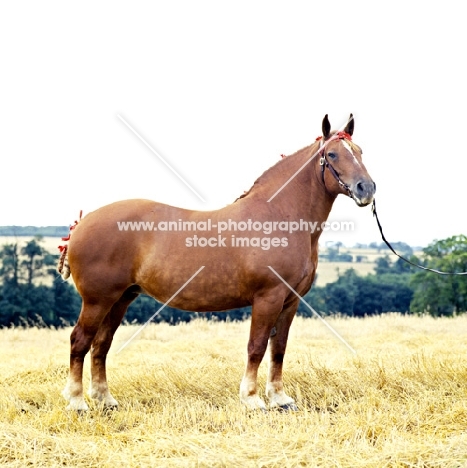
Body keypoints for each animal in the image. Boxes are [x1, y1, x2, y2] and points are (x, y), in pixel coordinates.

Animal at [61, 115, 376, 412]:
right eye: (332, 154)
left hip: (121, 299)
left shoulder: (291, 300)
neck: (279, 216)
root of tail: (82, 224)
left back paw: (105, 399)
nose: (367, 188)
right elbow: (256, 346)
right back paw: (77, 402)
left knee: (101, 345)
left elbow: (279, 348)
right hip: (98, 300)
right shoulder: (268, 297)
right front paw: (252, 399)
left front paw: (280, 399)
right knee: (80, 341)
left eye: (360, 151)